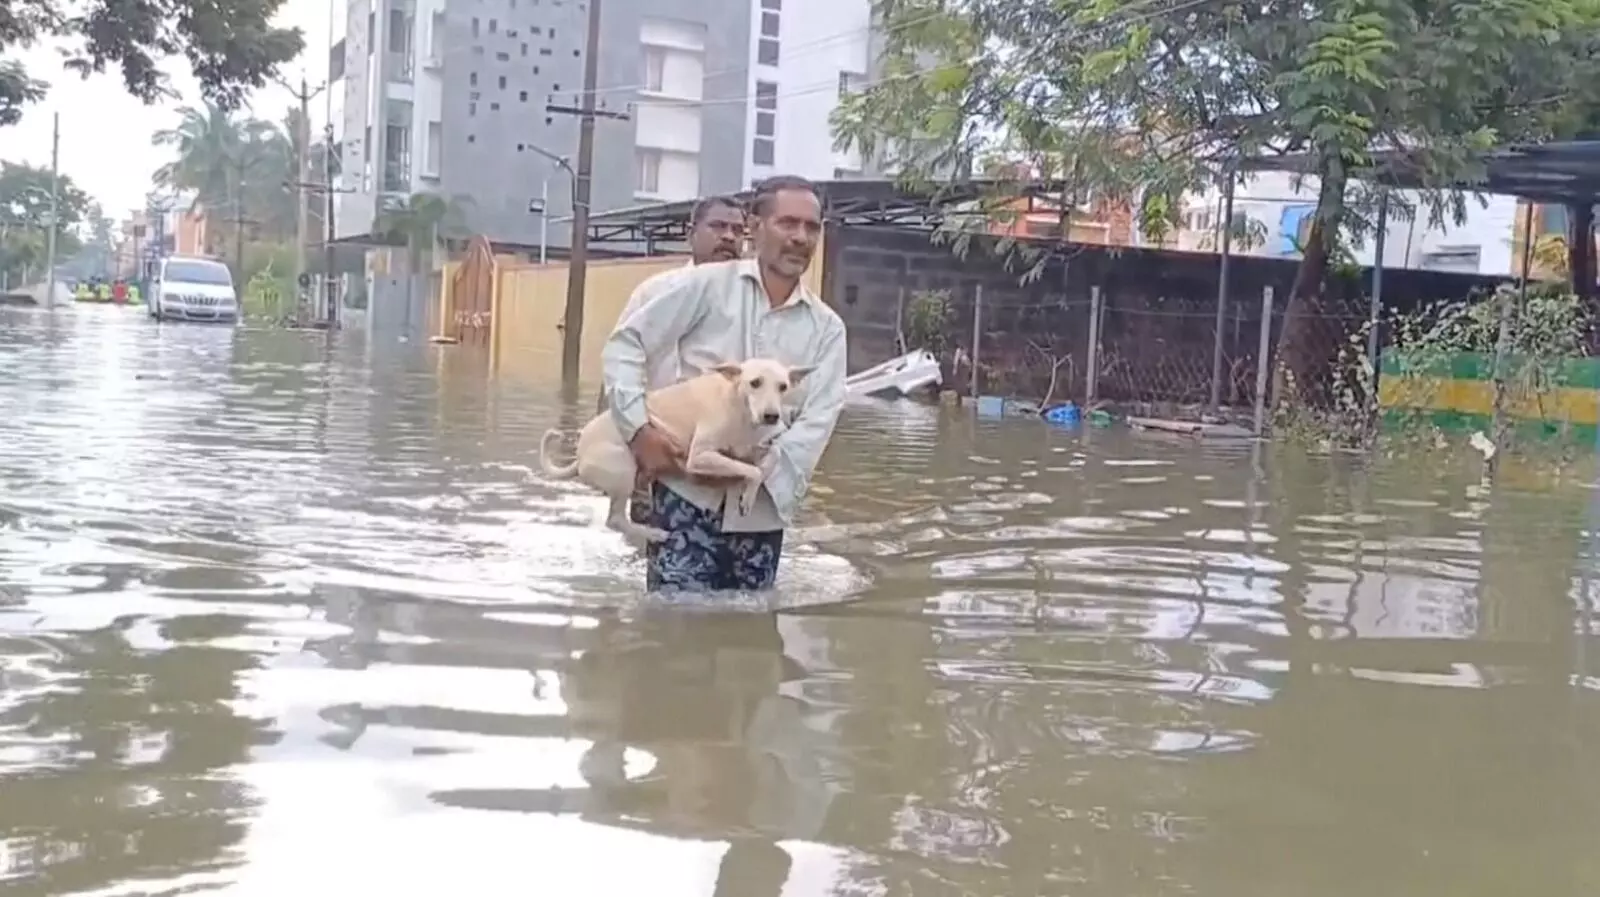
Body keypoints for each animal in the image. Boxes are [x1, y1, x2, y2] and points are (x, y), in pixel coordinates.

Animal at [539, 358, 813, 545]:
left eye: (783, 387)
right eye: (755, 383)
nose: (772, 416)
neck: (739, 405)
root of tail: (580, 456)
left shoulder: (755, 447)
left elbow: (770, 458)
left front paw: (750, 491)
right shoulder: (700, 456)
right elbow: (751, 471)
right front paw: (747, 495)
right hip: (624, 470)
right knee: (615, 520)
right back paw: (654, 533)